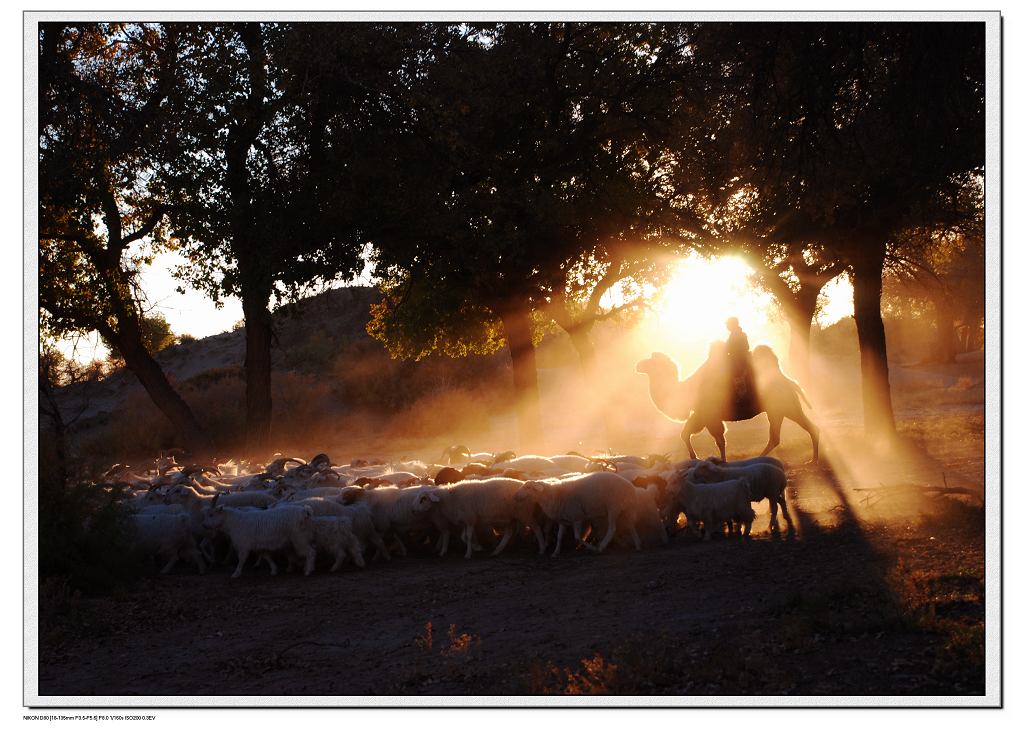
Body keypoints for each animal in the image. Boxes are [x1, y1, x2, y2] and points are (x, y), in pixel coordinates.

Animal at [634, 346, 819, 460]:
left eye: (651, 362)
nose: (638, 364)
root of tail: (789, 381)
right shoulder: (701, 415)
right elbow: (685, 433)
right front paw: (695, 458)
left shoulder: (710, 416)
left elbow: (719, 440)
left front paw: (722, 462)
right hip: (780, 409)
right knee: (781, 436)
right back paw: (812, 459)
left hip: (784, 406)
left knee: (792, 431)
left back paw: (812, 459)